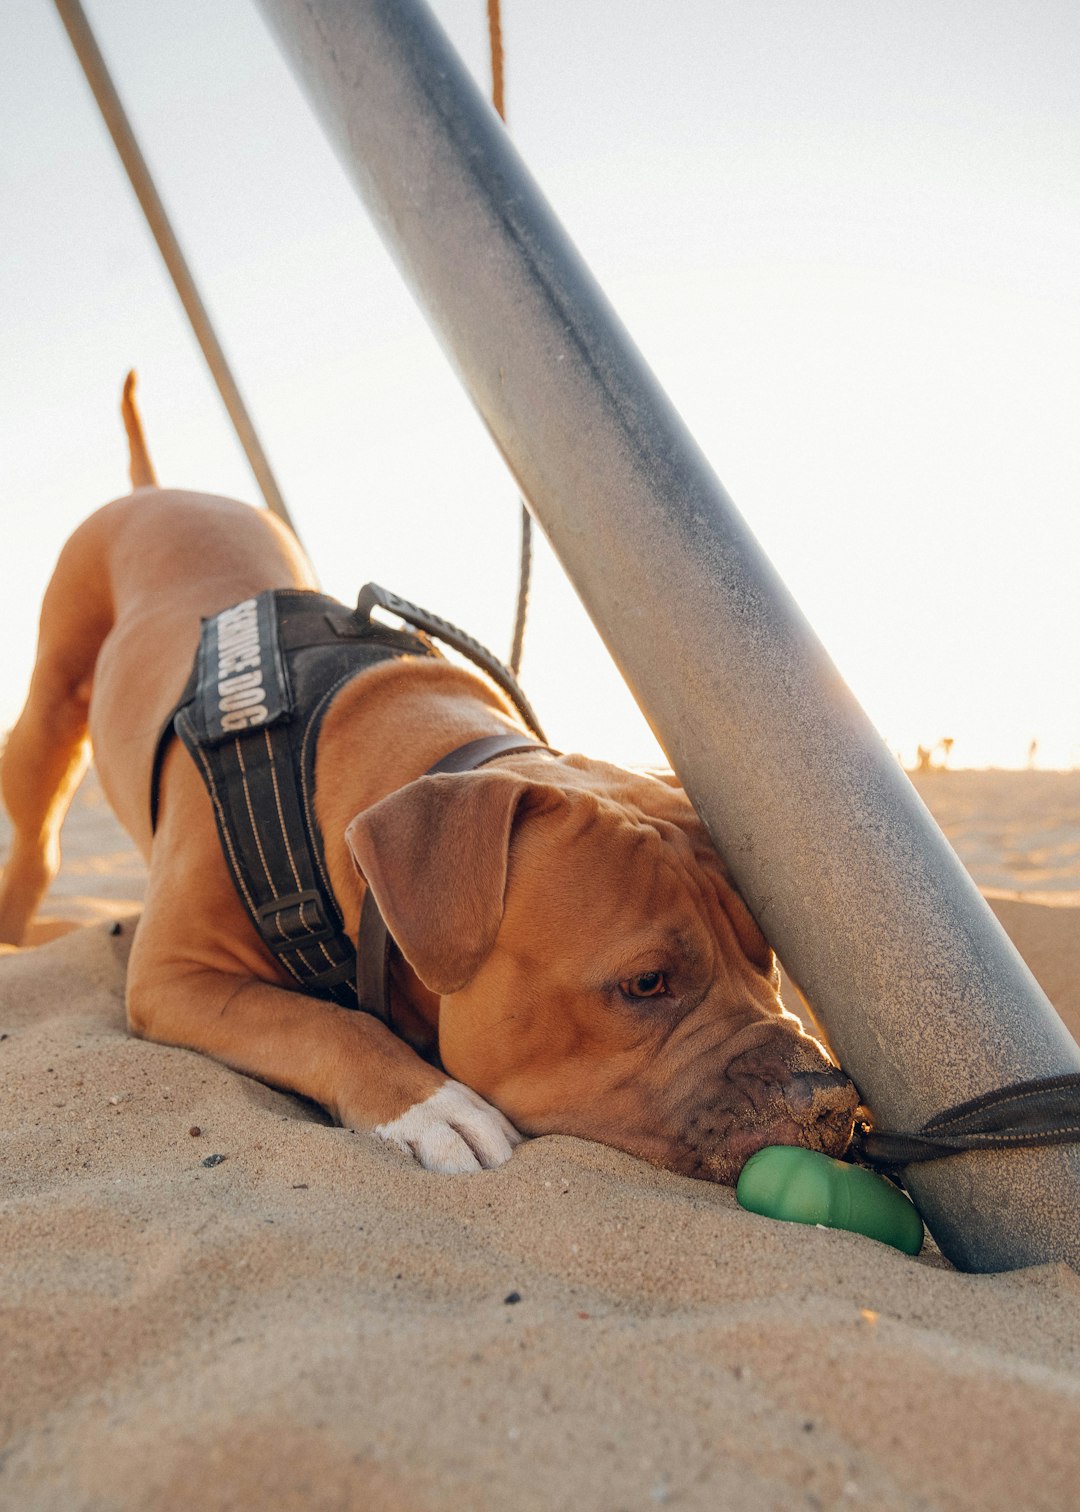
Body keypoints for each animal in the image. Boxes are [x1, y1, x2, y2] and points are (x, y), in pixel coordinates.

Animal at [2, 378, 859, 1179]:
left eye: (769, 957)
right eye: (646, 983)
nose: (833, 1099)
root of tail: (156, 491)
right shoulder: (173, 975)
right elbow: (325, 1021)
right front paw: (431, 1104)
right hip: (47, 712)